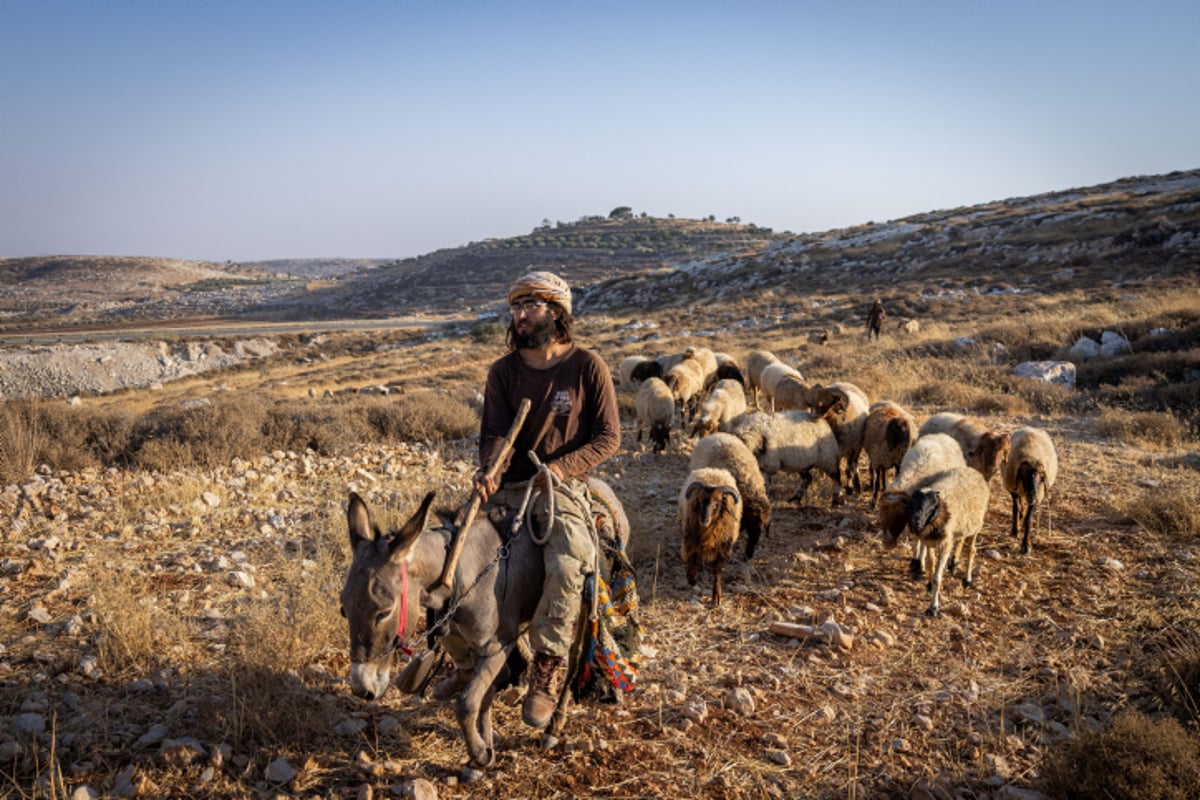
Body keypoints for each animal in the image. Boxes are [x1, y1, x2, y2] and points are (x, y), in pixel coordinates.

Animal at [676, 462, 739, 606]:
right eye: (699, 499)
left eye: (718, 502)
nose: (704, 519)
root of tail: (713, 470)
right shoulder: (690, 541)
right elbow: (692, 561)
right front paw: (692, 579)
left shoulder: (722, 549)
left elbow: (717, 572)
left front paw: (717, 597)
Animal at [902, 465, 988, 618]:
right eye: (912, 503)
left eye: (931, 506)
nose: (916, 522)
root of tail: (973, 470)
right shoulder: (929, 542)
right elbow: (930, 564)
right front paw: (929, 584)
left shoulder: (945, 545)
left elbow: (938, 577)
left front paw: (933, 607)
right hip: (962, 526)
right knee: (960, 540)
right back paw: (953, 564)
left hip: (976, 525)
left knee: (971, 550)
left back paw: (967, 579)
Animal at [998, 424, 1056, 556]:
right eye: (1023, 477)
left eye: (1041, 478)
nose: (1032, 496)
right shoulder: (1013, 488)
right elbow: (1016, 508)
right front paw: (1015, 531)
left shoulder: (1038, 496)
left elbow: (1029, 520)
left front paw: (1026, 545)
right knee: (1019, 502)